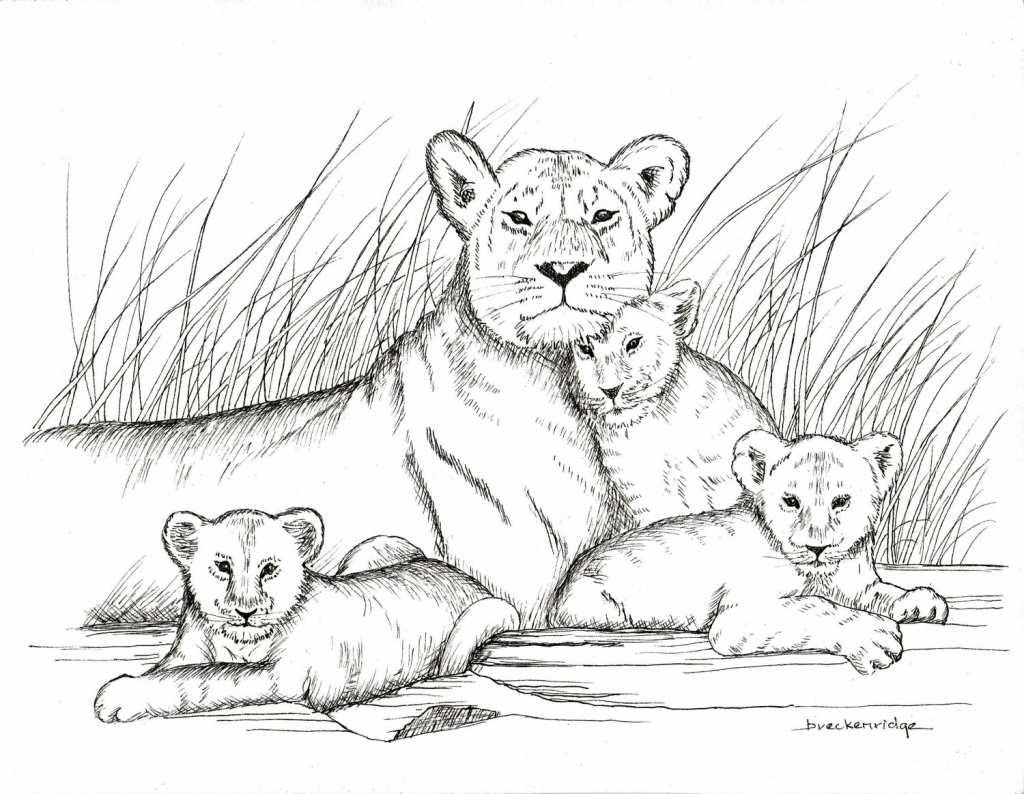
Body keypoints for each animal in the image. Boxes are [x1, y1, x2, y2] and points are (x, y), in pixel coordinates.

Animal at [95, 508, 519, 722]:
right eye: (222, 565)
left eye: (270, 568)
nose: (245, 610)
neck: (239, 640)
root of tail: (462, 577)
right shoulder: (188, 648)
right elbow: (172, 668)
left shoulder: (285, 675)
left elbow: (204, 679)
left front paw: (118, 696)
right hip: (374, 548)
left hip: (476, 614)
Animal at [548, 430, 949, 674]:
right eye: (791, 500)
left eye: (841, 501)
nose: (817, 547)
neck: (819, 572)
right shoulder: (738, 616)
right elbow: (811, 608)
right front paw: (873, 638)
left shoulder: (855, 583)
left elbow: (881, 592)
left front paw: (922, 602)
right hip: (595, 606)